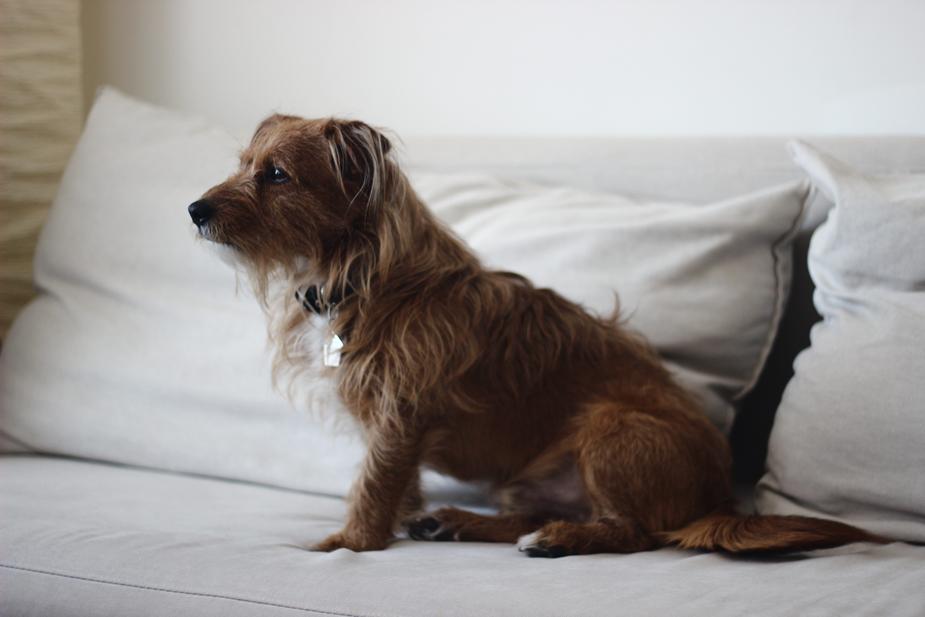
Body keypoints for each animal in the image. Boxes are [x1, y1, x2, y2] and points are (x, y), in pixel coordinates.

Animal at [189, 113, 888, 556]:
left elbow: (372, 484)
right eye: (243, 165)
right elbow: (398, 486)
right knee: (544, 511)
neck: (361, 276)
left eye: (277, 175)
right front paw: (398, 523)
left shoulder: (399, 416)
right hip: (528, 476)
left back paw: (556, 540)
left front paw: (348, 543)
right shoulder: (396, 428)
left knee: (635, 534)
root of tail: (719, 502)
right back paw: (458, 523)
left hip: (613, 428)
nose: (194, 209)